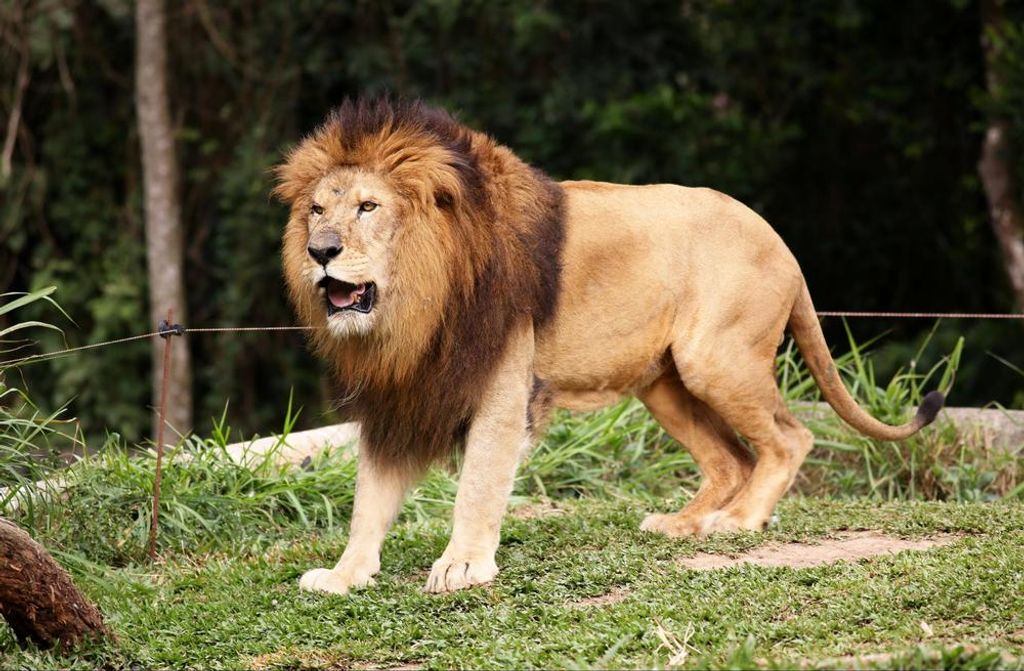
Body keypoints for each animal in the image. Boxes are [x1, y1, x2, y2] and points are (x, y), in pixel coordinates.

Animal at [275, 98, 944, 595]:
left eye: (368, 207)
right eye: (317, 210)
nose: (320, 250)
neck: (415, 304)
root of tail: (781, 242)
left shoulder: (502, 386)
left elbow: (479, 484)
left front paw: (461, 565)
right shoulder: (400, 395)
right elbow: (370, 498)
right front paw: (343, 576)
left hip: (715, 359)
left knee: (789, 438)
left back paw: (737, 521)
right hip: (665, 383)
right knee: (732, 458)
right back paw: (681, 524)